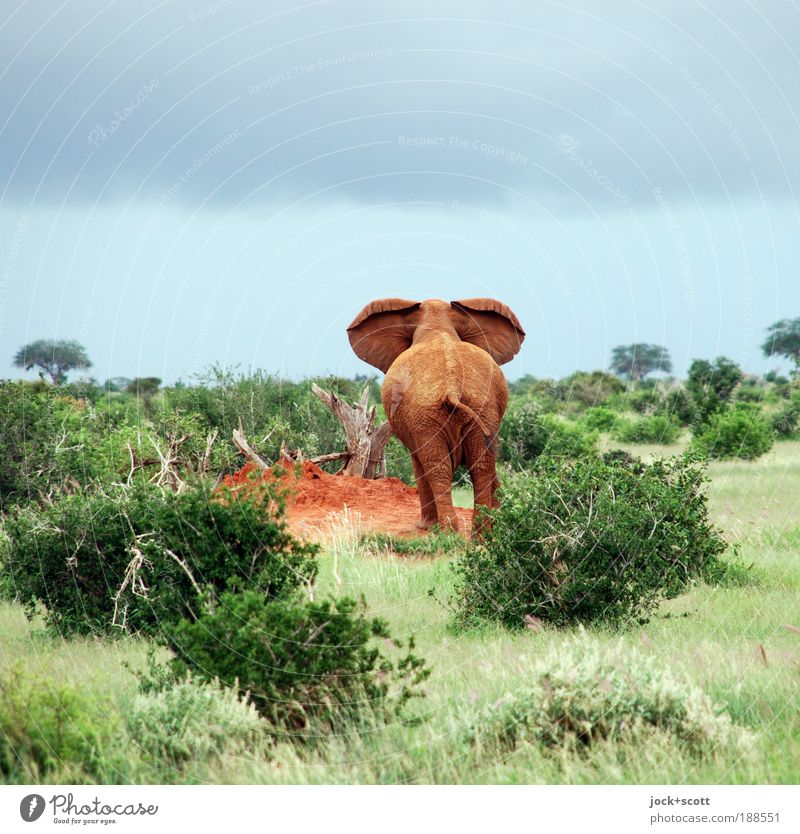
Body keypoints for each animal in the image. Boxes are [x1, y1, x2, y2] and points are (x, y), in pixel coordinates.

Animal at [346, 300, 524, 532]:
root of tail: (452, 385)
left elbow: (418, 463)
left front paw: (425, 527)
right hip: (480, 408)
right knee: (481, 465)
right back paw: (482, 534)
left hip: (426, 414)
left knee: (437, 467)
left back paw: (446, 531)